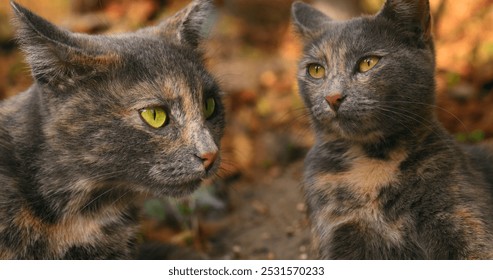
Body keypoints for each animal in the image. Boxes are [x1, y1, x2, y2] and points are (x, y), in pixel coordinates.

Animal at [290, 0, 492, 260]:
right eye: (316, 70)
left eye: (368, 62)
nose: (333, 97)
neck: (371, 165)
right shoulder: (340, 229)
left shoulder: (459, 213)